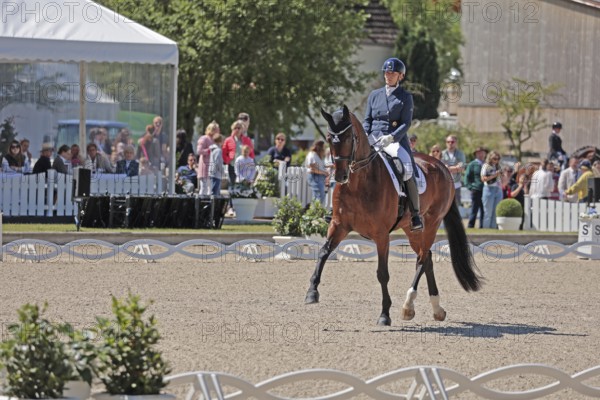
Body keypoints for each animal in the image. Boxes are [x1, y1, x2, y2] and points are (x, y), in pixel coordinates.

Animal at [304, 105, 482, 324]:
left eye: (347, 138)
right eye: (329, 138)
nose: (340, 176)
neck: (357, 184)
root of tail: (443, 167)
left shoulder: (381, 235)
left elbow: (382, 273)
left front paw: (384, 314)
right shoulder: (339, 225)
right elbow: (323, 252)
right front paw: (312, 292)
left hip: (431, 223)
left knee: (422, 257)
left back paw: (408, 305)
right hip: (412, 229)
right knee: (427, 257)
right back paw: (435, 309)